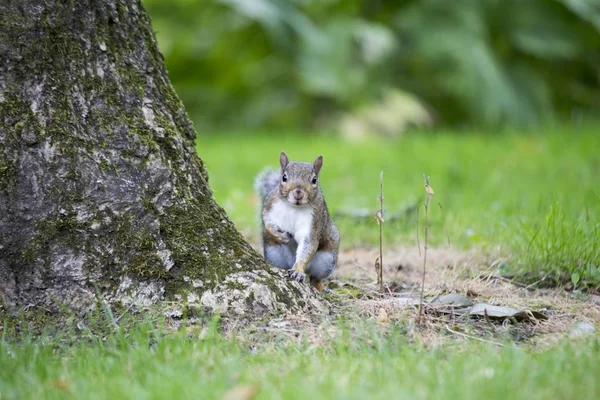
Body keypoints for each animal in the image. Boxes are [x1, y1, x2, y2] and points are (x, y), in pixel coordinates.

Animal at [252, 152, 338, 292]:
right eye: (284, 177)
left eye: (314, 180)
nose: (298, 192)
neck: (294, 207)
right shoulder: (269, 206)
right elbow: (267, 222)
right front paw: (279, 235)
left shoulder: (314, 221)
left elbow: (308, 245)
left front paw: (297, 270)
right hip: (273, 254)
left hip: (326, 261)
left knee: (315, 278)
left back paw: (321, 287)